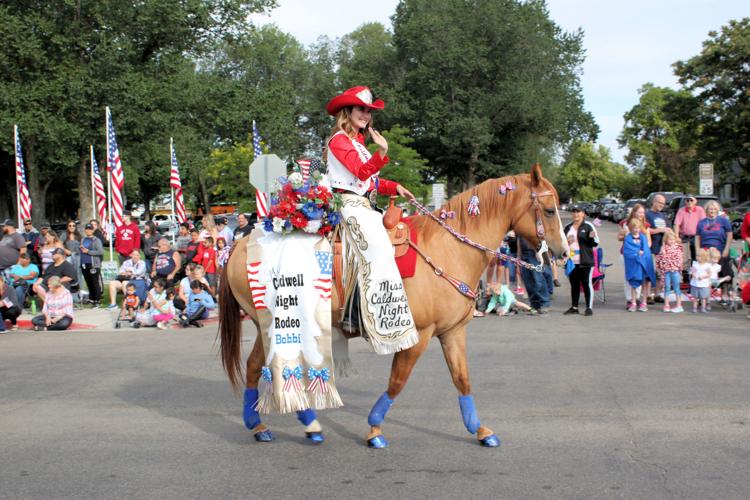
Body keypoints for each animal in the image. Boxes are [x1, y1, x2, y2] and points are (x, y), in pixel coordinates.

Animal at [217, 162, 568, 448]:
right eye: (550, 211)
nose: (562, 253)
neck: (448, 249)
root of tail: (239, 245)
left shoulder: (452, 332)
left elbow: (462, 378)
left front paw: (480, 430)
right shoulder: (418, 334)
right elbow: (398, 381)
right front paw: (374, 429)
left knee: (259, 366)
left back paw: (284, 425)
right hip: (274, 323)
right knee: (266, 366)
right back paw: (278, 424)